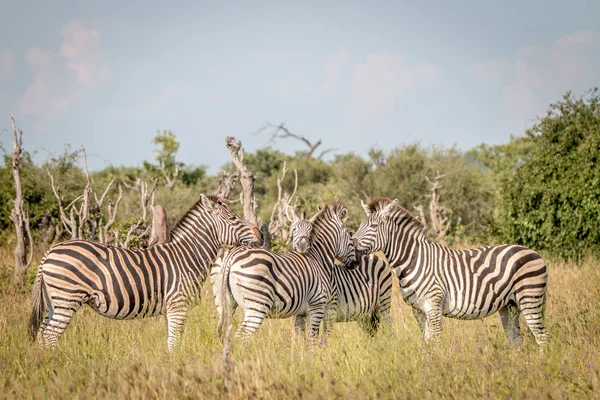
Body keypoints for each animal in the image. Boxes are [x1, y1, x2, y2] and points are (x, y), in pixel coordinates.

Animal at [29, 195, 260, 352]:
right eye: (233, 218)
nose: (259, 233)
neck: (187, 256)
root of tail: (50, 251)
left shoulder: (171, 308)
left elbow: (171, 340)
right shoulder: (178, 304)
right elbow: (174, 342)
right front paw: (175, 368)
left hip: (53, 300)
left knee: (42, 333)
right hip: (67, 298)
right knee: (50, 335)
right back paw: (54, 365)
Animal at [217, 202, 356, 340]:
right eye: (350, 234)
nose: (356, 263)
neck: (317, 258)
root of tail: (232, 255)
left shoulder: (302, 313)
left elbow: (301, 338)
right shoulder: (317, 305)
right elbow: (313, 338)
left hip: (229, 303)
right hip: (257, 305)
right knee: (241, 336)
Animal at [352, 198, 548, 346]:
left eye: (374, 226)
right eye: (361, 225)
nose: (352, 244)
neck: (414, 260)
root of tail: (534, 252)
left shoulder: (434, 305)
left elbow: (434, 341)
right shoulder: (418, 310)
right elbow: (425, 341)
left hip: (529, 298)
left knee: (542, 337)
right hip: (509, 305)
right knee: (516, 339)